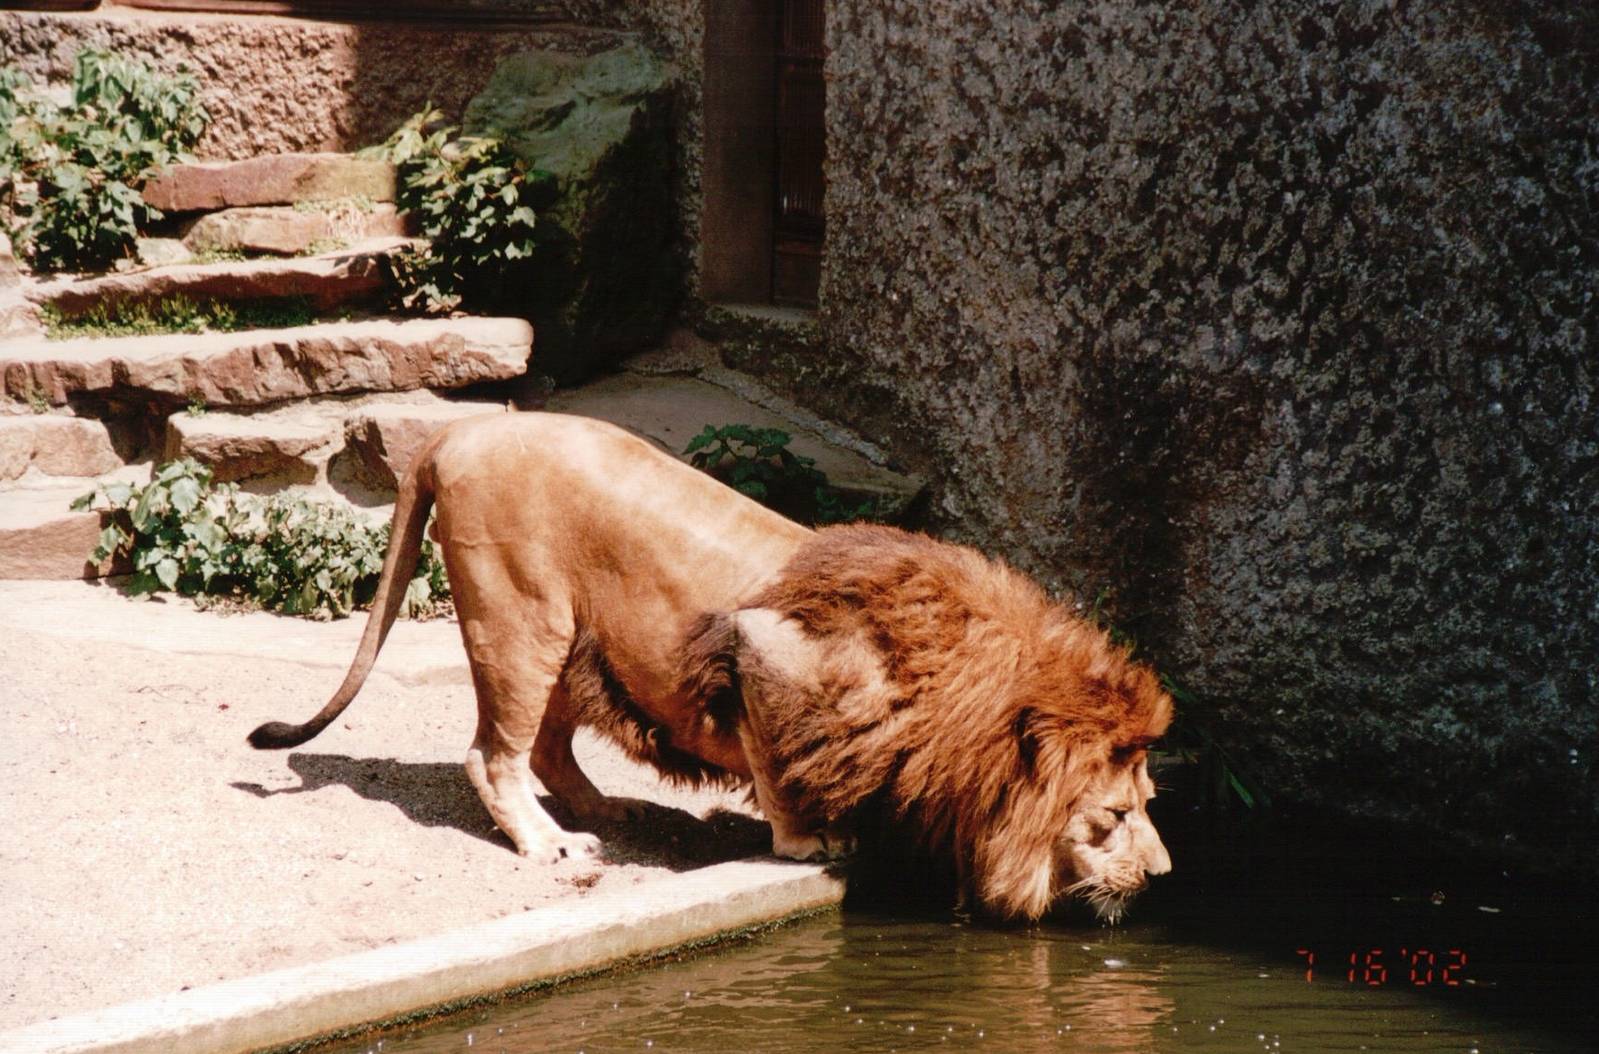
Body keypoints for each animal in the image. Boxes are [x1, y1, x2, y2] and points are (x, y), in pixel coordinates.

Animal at [249, 413, 1173, 920]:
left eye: (1147, 803)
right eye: (1114, 815)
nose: (1165, 875)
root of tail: (454, 430)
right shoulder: (761, 647)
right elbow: (778, 768)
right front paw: (809, 839)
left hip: (571, 639)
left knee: (546, 746)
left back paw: (608, 808)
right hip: (520, 619)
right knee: (493, 754)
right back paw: (550, 843)